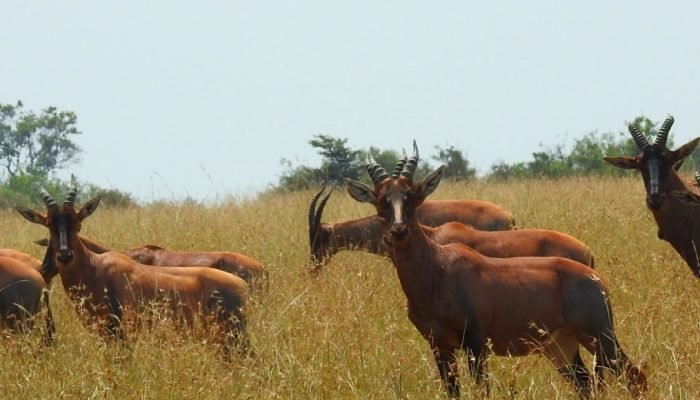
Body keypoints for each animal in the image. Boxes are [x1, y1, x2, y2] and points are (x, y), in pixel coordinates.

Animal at [14, 183, 252, 354]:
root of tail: (240, 284)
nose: (63, 256)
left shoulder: (116, 331)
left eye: (77, 222)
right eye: (49, 224)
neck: (95, 267)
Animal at [344, 142, 644, 398]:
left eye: (412, 197)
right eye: (381, 201)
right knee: (586, 384)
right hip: (562, 345)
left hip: (599, 337)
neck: (437, 270)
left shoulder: (477, 344)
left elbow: (482, 391)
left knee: (635, 376)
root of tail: (596, 278)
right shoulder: (440, 347)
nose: (398, 231)